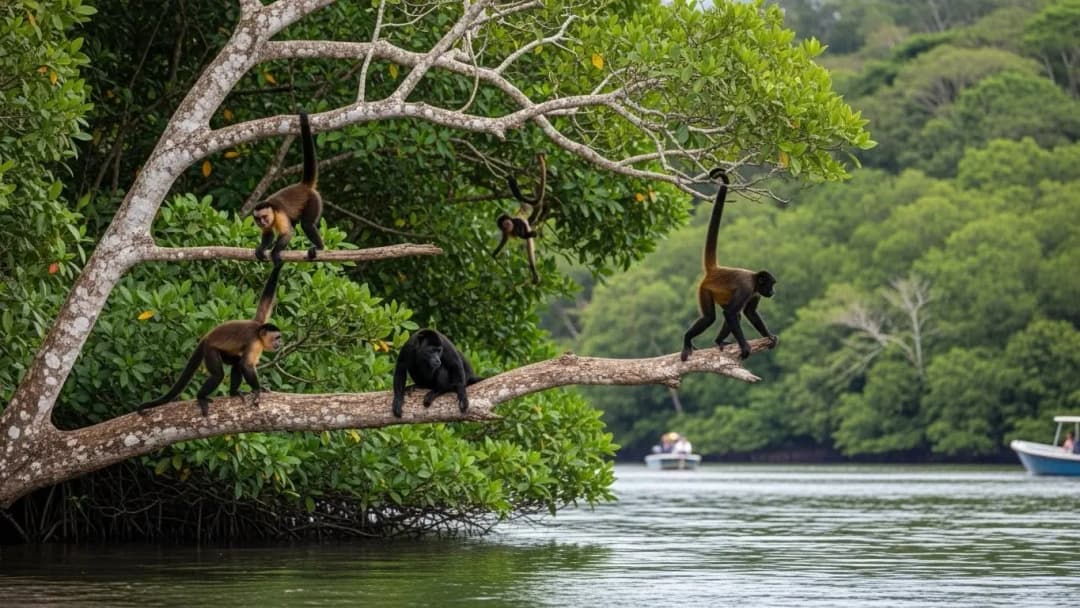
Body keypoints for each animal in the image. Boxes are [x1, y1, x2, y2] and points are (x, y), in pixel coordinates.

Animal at [137, 262, 285, 416]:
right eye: (277, 337)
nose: (280, 343)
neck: (258, 334)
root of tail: (206, 337)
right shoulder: (254, 342)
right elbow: (246, 365)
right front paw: (257, 390)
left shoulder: (260, 322)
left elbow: (266, 299)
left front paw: (277, 264)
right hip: (209, 349)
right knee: (219, 374)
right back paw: (201, 397)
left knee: (236, 363)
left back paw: (233, 393)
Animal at [252, 111, 323, 265]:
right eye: (258, 219)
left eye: (264, 217)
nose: (263, 222)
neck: (272, 214)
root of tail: (303, 185)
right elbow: (268, 234)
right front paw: (262, 248)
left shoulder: (279, 214)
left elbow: (287, 233)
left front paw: (275, 252)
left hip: (313, 200)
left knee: (307, 224)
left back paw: (320, 248)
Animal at [492, 154, 546, 284]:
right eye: (503, 225)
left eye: (507, 223)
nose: (507, 225)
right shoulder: (506, 231)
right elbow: (504, 240)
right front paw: (495, 253)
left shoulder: (518, 222)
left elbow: (524, 235)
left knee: (528, 243)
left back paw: (533, 270)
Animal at [680, 168, 778, 362]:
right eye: (771, 284)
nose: (773, 292)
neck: (754, 279)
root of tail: (715, 269)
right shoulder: (747, 288)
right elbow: (731, 314)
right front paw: (745, 346)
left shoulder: (755, 292)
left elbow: (749, 314)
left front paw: (768, 335)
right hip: (705, 288)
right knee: (711, 317)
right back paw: (687, 338)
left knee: (733, 314)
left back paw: (718, 341)